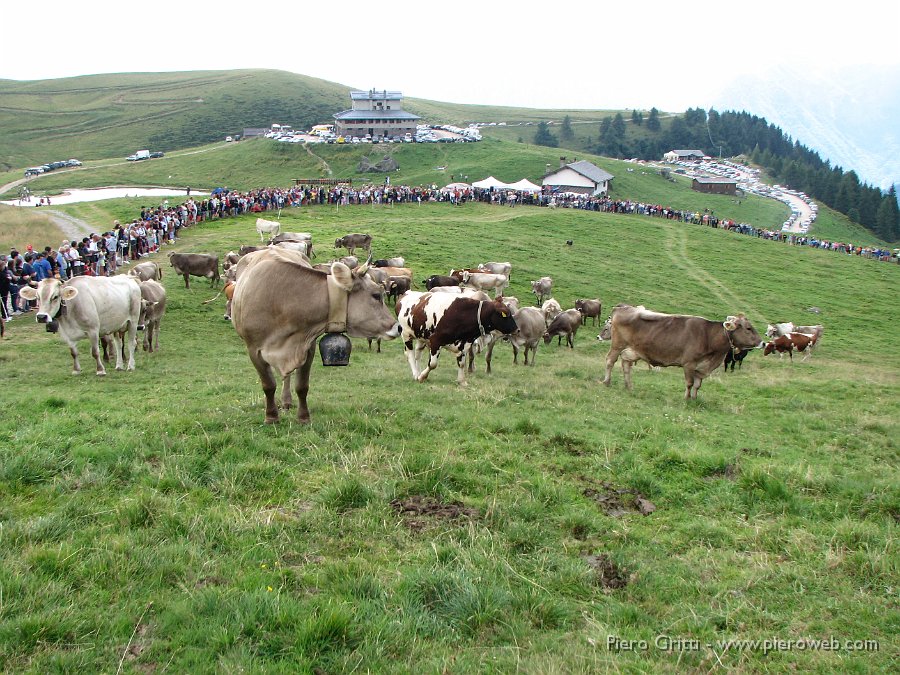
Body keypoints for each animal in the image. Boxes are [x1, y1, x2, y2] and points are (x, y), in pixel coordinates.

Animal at [232, 251, 400, 426]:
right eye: (376, 295)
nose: (398, 327)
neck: (283, 301)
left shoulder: (307, 347)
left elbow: (302, 386)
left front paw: (303, 417)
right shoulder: (253, 350)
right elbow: (268, 385)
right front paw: (271, 416)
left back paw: (286, 400)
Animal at [600, 304, 764, 398]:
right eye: (748, 328)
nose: (762, 343)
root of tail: (621, 308)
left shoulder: (701, 367)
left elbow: (697, 385)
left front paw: (694, 399)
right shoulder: (689, 363)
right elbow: (690, 383)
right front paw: (686, 399)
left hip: (632, 351)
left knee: (626, 366)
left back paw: (629, 386)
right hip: (617, 345)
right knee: (610, 361)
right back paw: (606, 381)